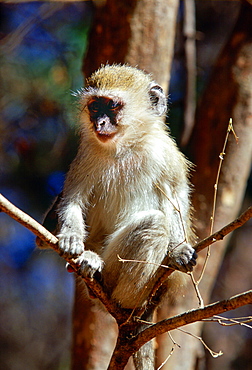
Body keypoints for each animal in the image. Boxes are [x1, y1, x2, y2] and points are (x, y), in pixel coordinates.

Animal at [38, 65, 197, 368]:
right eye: (94, 106)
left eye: (112, 106)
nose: (99, 123)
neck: (127, 146)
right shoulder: (86, 154)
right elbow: (72, 200)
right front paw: (71, 238)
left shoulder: (166, 153)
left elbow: (175, 199)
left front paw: (179, 250)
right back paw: (90, 263)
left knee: (155, 224)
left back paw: (126, 299)